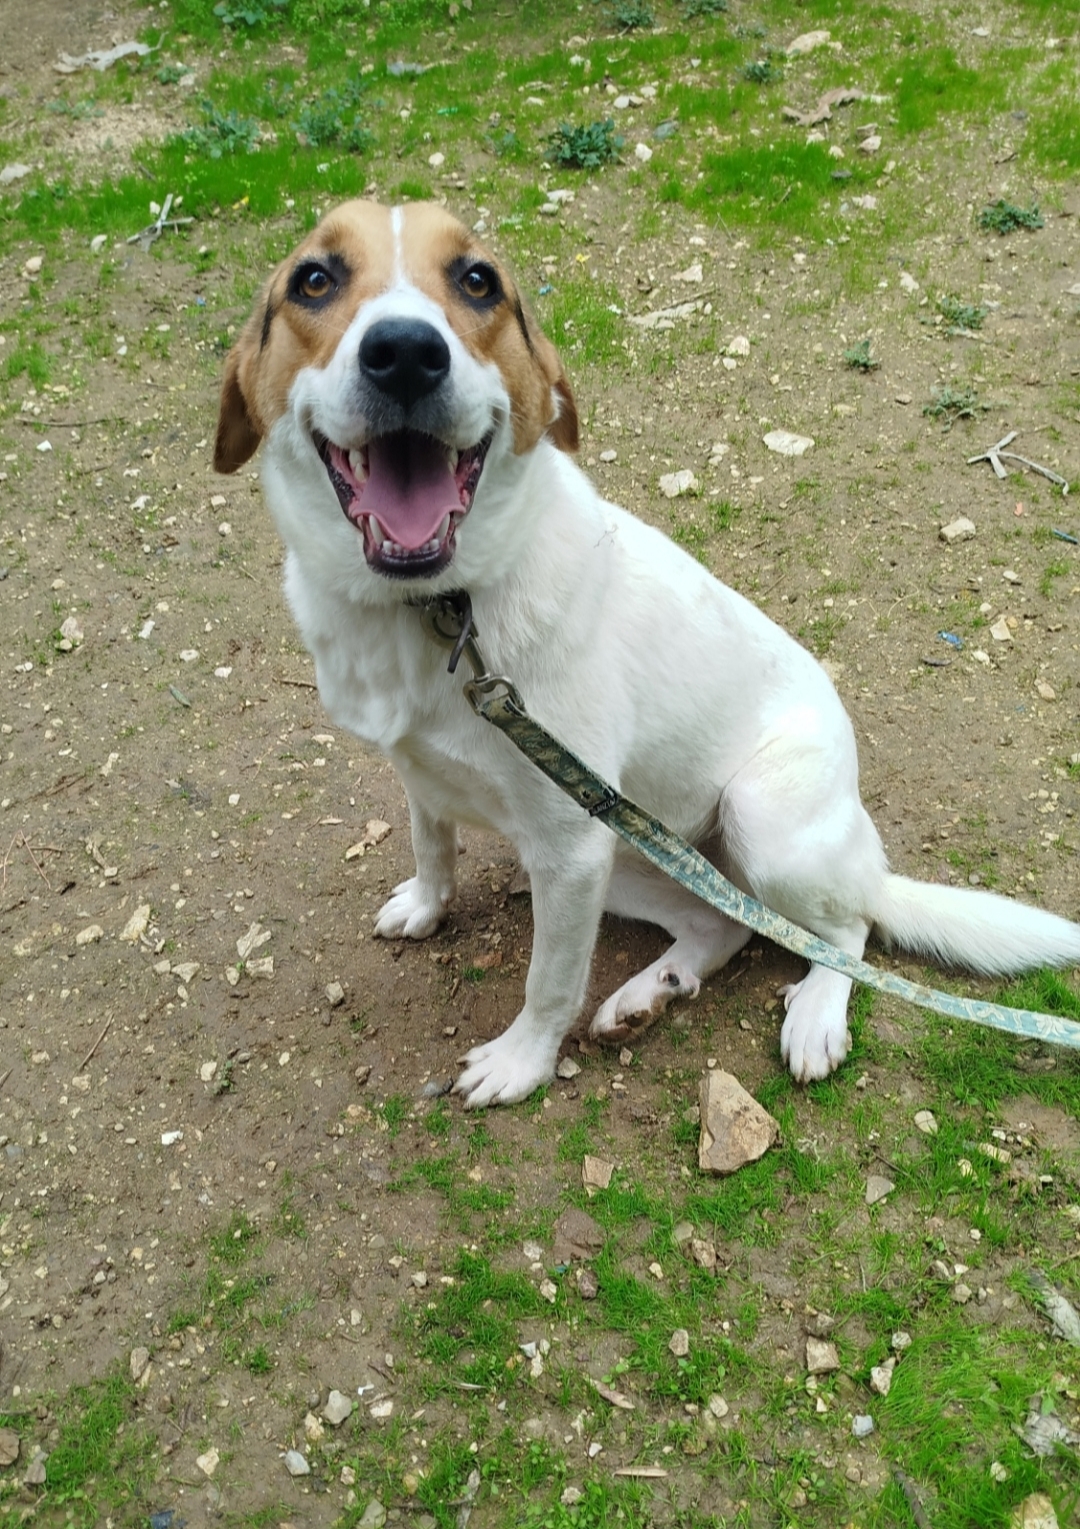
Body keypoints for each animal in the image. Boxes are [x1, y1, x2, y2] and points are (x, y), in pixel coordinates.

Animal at [214, 199, 1080, 1106]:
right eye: (315, 279)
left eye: (477, 280)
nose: (407, 354)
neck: (440, 607)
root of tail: (862, 852)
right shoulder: (440, 785)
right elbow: (430, 843)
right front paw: (426, 903)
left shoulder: (569, 850)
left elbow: (549, 982)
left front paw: (521, 1061)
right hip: (626, 847)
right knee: (721, 923)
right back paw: (649, 992)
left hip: (749, 823)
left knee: (847, 929)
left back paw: (813, 1012)